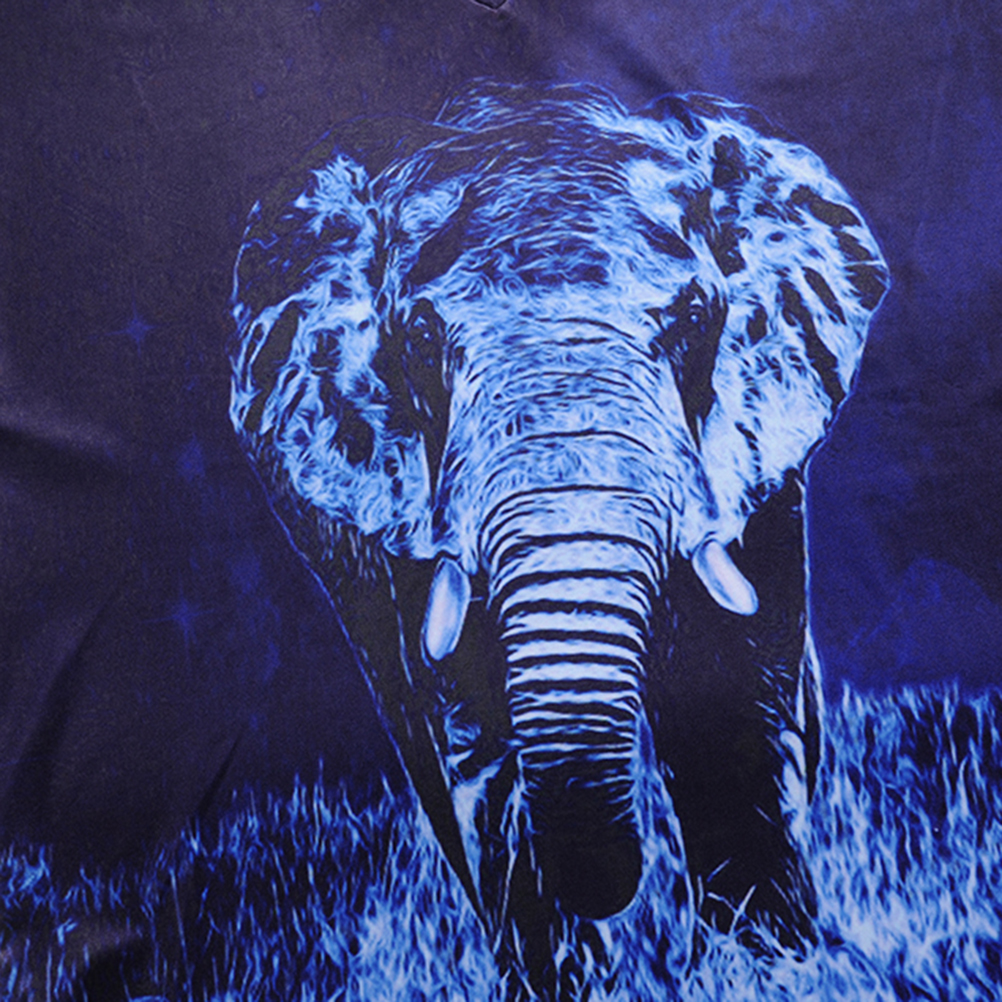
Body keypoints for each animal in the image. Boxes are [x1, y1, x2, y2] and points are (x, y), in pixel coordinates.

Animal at [229, 80, 888, 982]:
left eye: (694, 316)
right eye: (420, 337)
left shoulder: (757, 428)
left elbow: (737, 686)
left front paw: (774, 968)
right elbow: (477, 722)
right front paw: (568, 980)